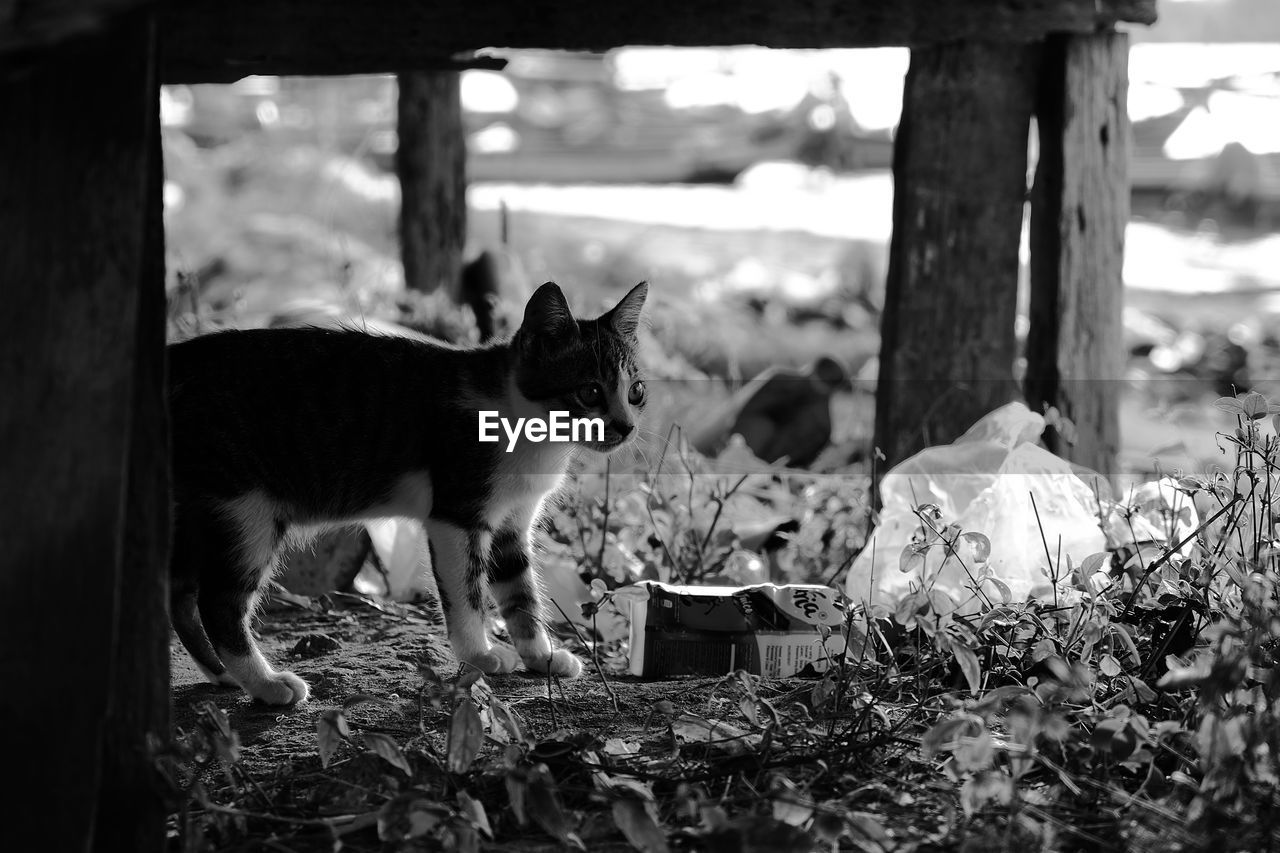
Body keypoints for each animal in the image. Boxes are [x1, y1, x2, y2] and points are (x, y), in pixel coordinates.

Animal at [167, 281, 650, 701]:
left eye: (637, 391)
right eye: (590, 391)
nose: (626, 427)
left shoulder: (512, 523)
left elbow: (520, 593)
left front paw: (542, 656)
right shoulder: (457, 515)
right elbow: (468, 592)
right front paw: (481, 654)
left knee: (180, 597)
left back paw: (223, 675)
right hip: (246, 508)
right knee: (217, 603)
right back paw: (266, 685)